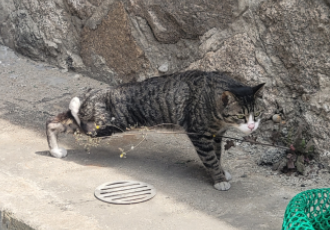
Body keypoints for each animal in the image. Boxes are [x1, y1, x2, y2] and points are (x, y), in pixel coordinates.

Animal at [45, 70, 266, 190]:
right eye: (241, 116)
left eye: (257, 113)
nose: (252, 125)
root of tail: (95, 94)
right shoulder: (199, 134)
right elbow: (210, 158)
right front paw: (219, 180)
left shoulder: (216, 135)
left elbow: (217, 155)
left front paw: (221, 172)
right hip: (102, 126)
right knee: (70, 118)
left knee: (54, 121)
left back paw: (55, 151)